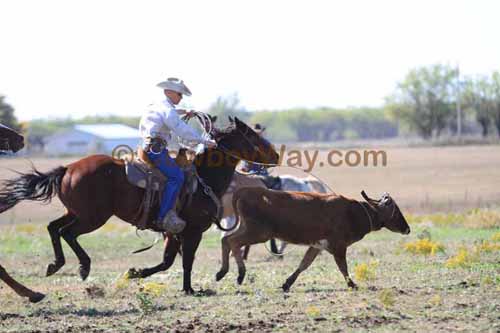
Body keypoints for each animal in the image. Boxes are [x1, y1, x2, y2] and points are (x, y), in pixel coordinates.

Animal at [0, 117, 280, 294]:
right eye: (252, 135)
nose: (276, 155)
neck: (203, 178)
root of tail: (68, 168)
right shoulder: (192, 232)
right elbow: (186, 261)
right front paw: (189, 289)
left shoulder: (173, 233)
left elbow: (167, 262)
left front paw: (134, 273)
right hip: (93, 218)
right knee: (67, 232)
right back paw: (83, 267)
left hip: (77, 212)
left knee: (53, 227)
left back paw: (55, 264)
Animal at [216, 187, 410, 290]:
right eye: (396, 211)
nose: (407, 228)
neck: (353, 213)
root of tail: (247, 190)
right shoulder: (339, 246)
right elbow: (343, 267)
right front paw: (352, 284)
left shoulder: (317, 245)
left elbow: (304, 264)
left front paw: (287, 283)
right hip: (258, 232)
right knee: (232, 242)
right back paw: (239, 274)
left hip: (248, 228)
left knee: (226, 240)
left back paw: (222, 272)